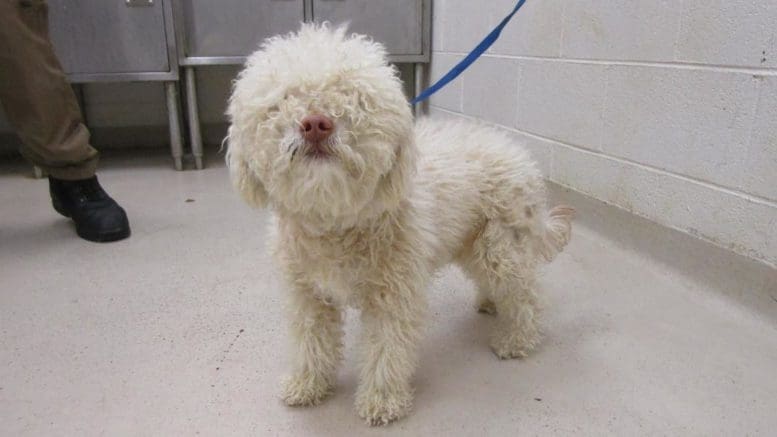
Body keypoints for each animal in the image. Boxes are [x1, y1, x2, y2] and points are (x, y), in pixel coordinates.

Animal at [223, 23, 568, 422]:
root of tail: (519, 153)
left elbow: (387, 349)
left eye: (354, 98)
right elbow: (311, 341)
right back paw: (491, 304)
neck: (336, 221)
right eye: (283, 98)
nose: (316, 123)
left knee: (527, 295)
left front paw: (382, 400)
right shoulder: (307, 294)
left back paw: (516, 339)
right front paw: (306, 384)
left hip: (501, 248)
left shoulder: (393, 297)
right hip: (473, 245)